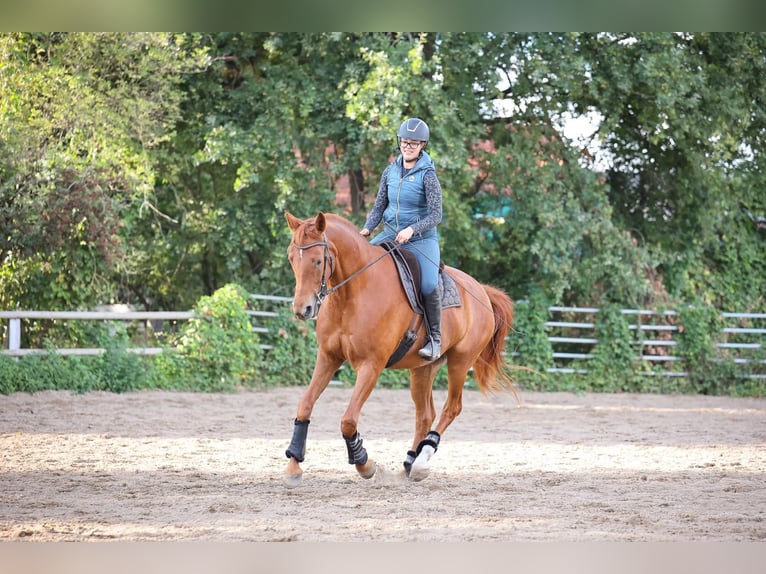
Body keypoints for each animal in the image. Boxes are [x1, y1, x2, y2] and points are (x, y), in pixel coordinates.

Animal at [283, 211, 518, 487]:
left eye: (318, 261)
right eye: (291, 258)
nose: (302, 309)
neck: (354, 292)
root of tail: (481, 289)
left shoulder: (371, 366)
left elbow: (348, 421)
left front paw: (364, 463)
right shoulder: (328, 358)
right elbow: (305, 404)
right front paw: (293, 465)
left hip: (460, 362)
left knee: (451, 408)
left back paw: (422, 462)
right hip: (422, 369)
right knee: (425, 414)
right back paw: (409, 462)